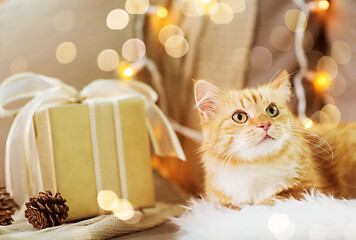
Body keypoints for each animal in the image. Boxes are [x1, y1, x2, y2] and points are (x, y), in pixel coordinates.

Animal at [195, 71, 356, 208]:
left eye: (272, 110)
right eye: (239, 117)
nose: (265, 124)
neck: (257, 167)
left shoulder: (309, 189)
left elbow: (270, 200)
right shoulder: (221, 201)